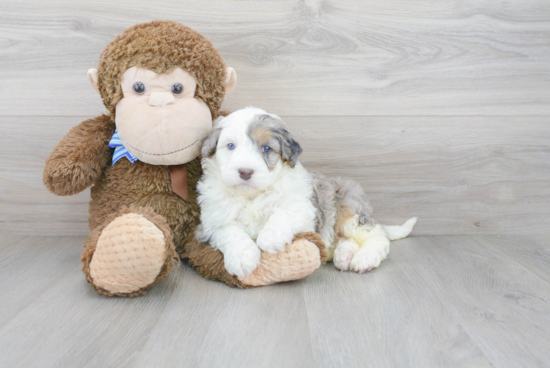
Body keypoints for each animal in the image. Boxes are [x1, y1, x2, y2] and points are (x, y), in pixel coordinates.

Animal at [196, 105, 416, 278]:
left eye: (266, 149)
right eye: (230, 146)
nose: (245, 171)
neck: (251, 195)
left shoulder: (304, 208)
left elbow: (283, 214)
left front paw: (270, 238)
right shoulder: (210, 223)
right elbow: (230, 231)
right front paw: (243, 258)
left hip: (349, 211)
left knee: (377, 236)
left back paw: (363, 259)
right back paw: (344, 256)